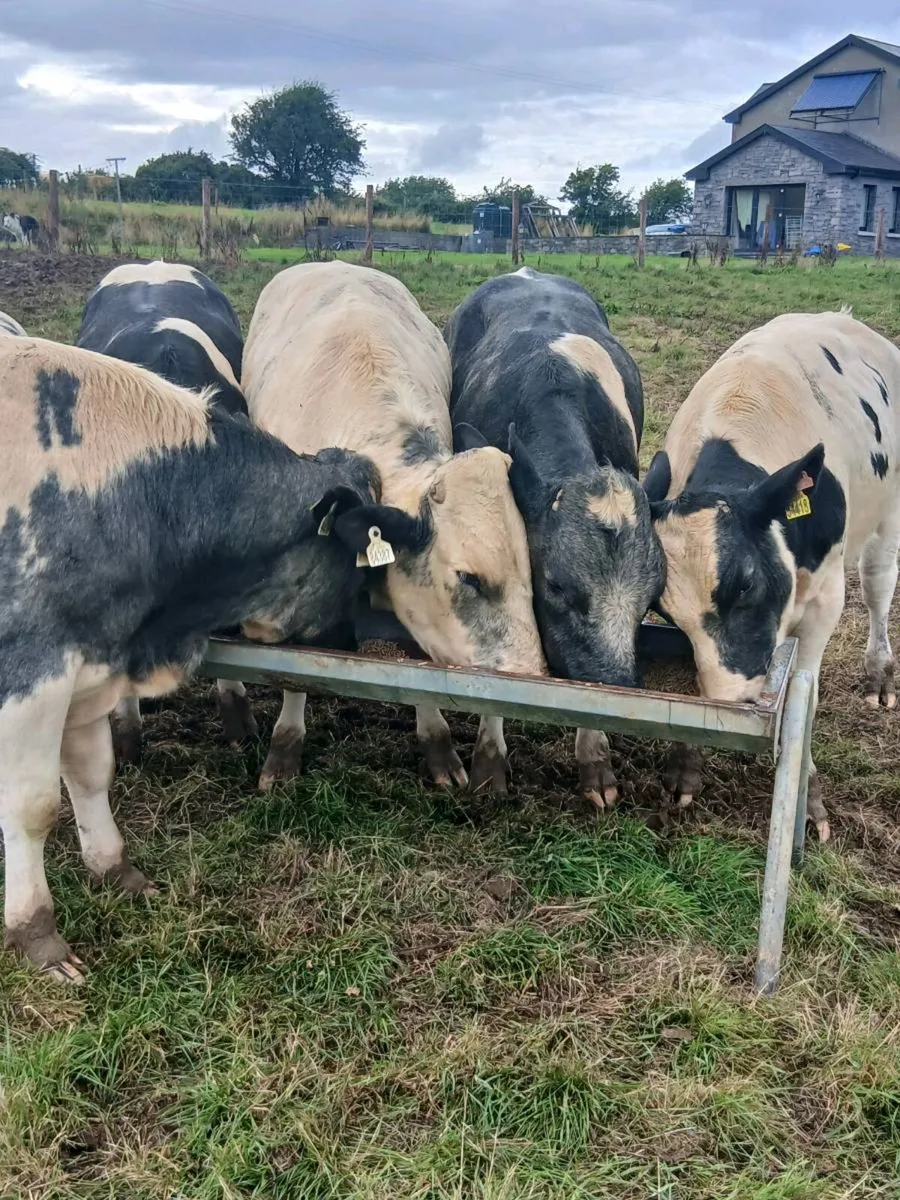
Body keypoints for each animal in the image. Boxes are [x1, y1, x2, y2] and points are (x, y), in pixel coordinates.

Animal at [0, 333, 379, 981]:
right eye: (355, 563)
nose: (352, 644)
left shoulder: (90, 663)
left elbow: (91, 772)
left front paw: (115, 869)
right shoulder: (30, 669)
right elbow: (32, 806)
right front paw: (37, 934)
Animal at [234, 259, 546, 790]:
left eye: (530, 570)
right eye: (468, 577)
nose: (533, 674)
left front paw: (445, 747)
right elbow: (297, 669)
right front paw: (284, 751)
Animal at [642, 309, 900, 840]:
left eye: (746, 583)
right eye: (666, 613)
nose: (738, 701)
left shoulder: (824, 603)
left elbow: (808, 696)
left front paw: (812, 800)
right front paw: (684, 768)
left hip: (890, 505)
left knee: (879, 582)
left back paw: (879, 674)